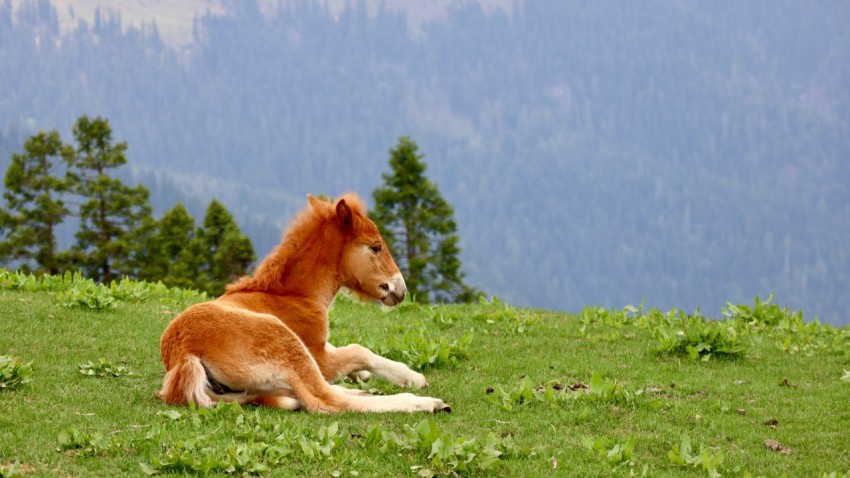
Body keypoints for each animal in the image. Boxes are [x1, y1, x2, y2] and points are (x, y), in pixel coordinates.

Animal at [157, 193, 450, 413]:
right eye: (376, 247)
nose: (400, 289)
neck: (296, 298)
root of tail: (184, 355)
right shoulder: (319, 357)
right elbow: (359, 351)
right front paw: (412, 377)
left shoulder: (318, 346)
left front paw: (364, 376)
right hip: (285, 343)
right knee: (328, 400)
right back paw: (426, 404)